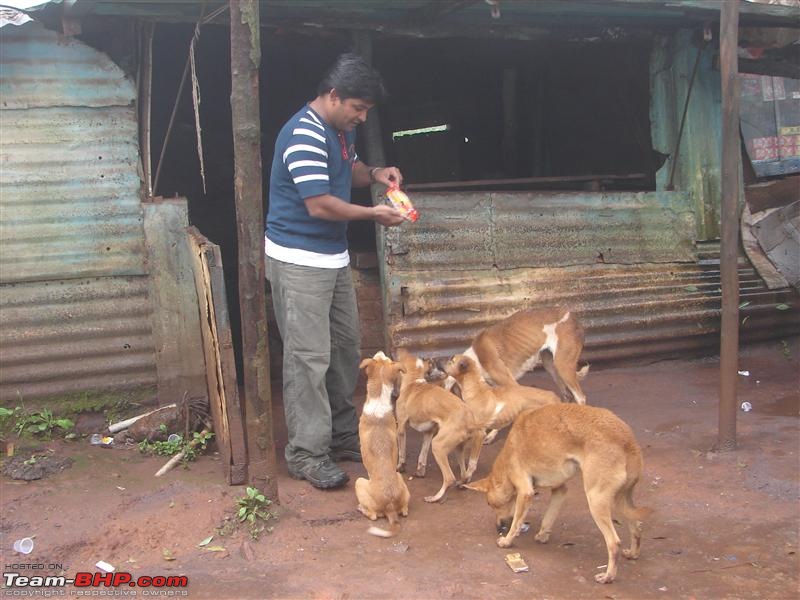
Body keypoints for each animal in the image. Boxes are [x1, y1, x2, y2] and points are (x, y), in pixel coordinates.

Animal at [354, 352, 410, 540]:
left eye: (381, 358)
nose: (380, 352)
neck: (378, 399)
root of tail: (390, 506)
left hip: (359, 483)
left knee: (373, 515)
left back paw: (362, 509)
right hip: (401, 480)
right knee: (405, 509)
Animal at [394, 350, 482, 504]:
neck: (413, 382)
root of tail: (470, 420)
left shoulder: (401, 430)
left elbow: (402, 453)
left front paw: (400, 467)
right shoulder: (428, 433)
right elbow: (422, 456)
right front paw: (420, 472)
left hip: (438, 446)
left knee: (449, 478)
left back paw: (435, 497)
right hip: (457, 448)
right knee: (464, 475)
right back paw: (461, 484)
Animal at [450, 310, 588, 404]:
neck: (476, 359)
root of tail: (573, 316)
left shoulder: (512, 384)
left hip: (562, 365)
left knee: (580, 398)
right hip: (550, 365)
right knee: (567, 395)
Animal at [466, 400, 652, 584]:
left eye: (490, 504)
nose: (498, 527)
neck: (507, 456)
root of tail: (628, 441)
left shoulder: (525, 492)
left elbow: (517, 522)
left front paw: (507, 541)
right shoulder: (560, 490)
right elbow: (549, 517)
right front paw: (542, 535)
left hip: (596, 501)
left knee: (614, 543)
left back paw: (608, 576)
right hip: (620, 501)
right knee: (636, 528)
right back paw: (633, 553)